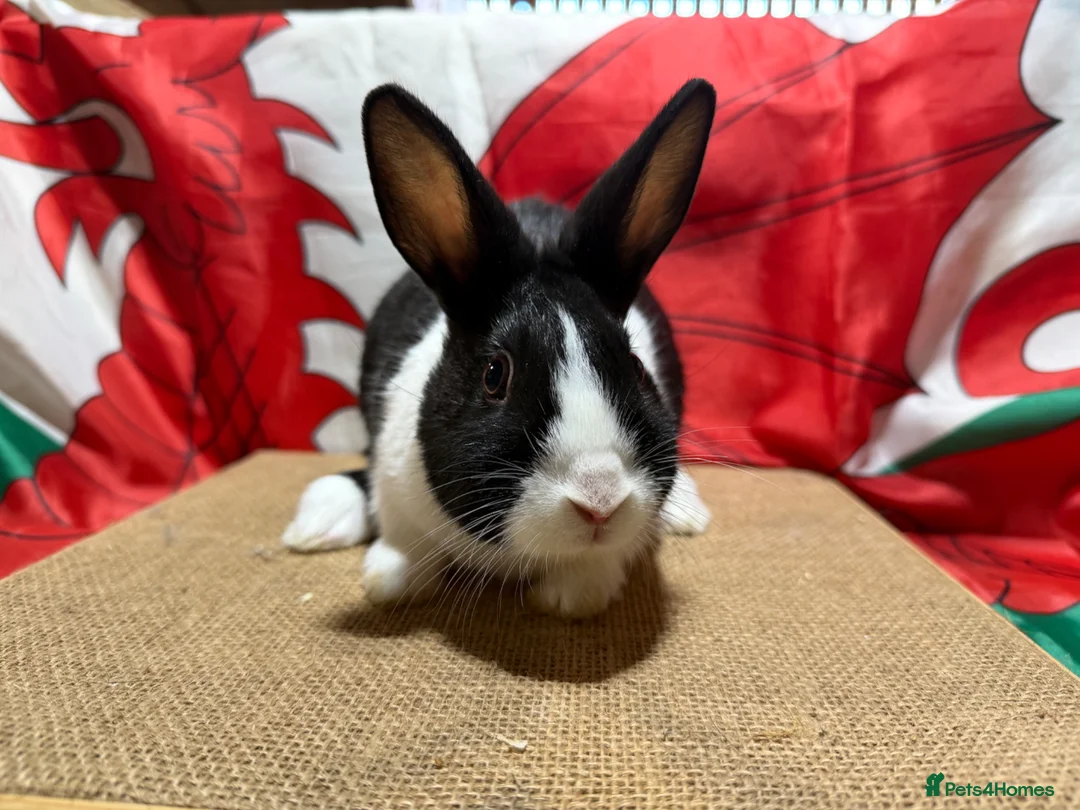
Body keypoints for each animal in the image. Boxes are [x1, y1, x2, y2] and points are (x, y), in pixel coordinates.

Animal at [282, 79, 716, 619]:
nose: (600, 499)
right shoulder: (394, 482)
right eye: (495, 375)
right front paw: (390, 580)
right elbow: (401, 544)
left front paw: (573, 595)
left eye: (635, 366)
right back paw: (316, 527)